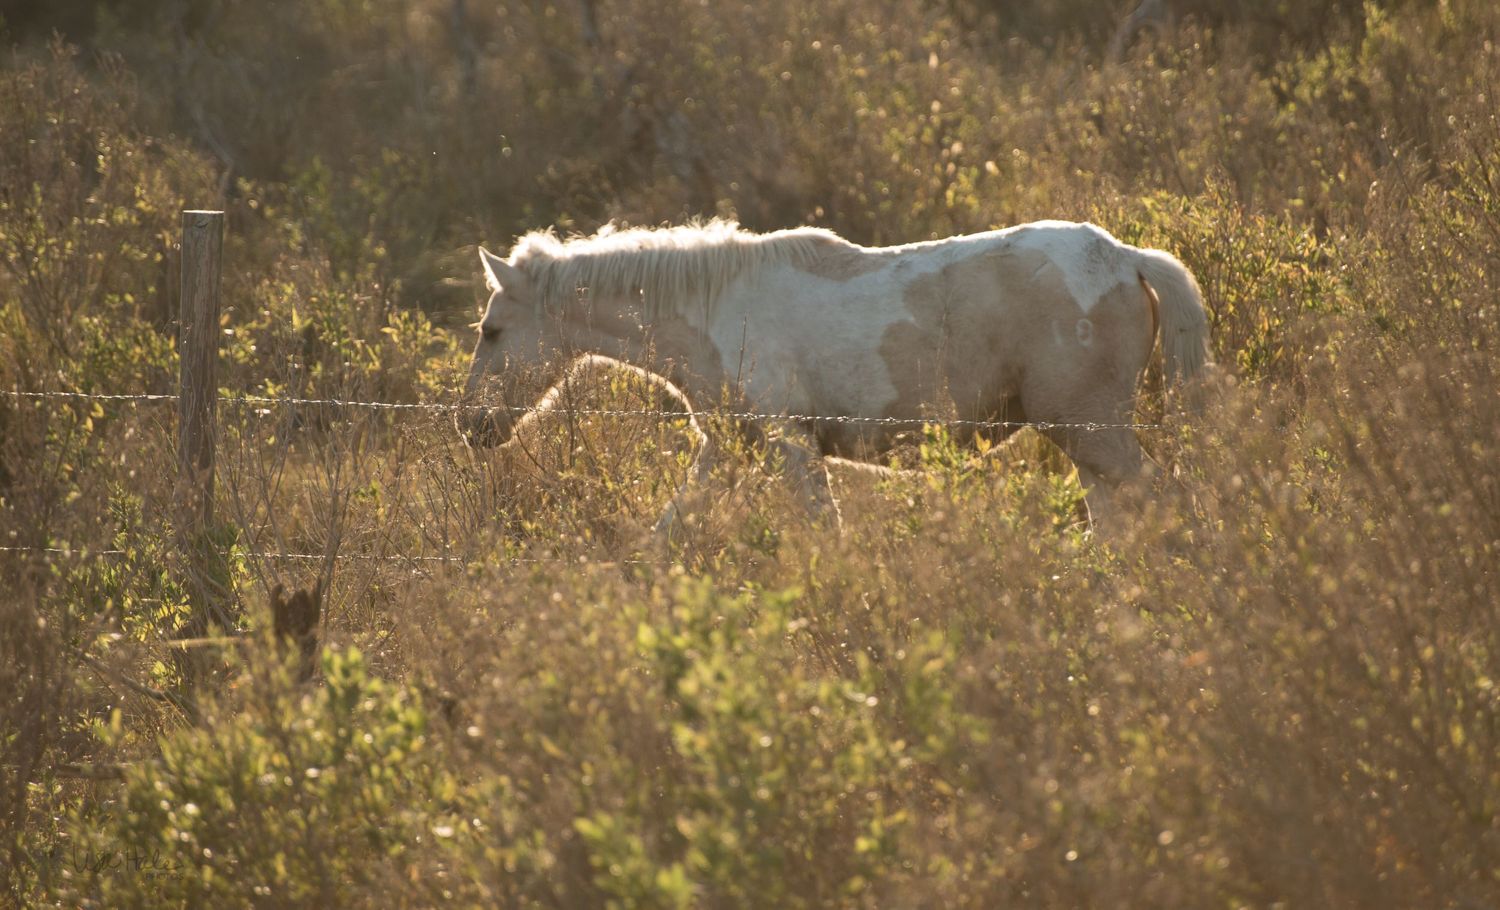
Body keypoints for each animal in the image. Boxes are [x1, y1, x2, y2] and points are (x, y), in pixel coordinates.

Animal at [460, 218, 1211, 530]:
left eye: (491, 331)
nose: (470, 425)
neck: (715, 309)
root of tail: (1126, 258)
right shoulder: (728, 451)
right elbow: (665, 535)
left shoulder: (791, 447)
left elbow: (826, 532)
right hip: (1088, 442)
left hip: (1091, 431)